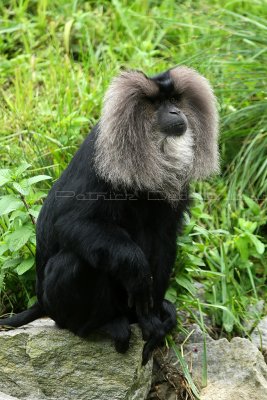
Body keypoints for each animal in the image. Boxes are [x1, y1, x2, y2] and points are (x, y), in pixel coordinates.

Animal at [0, 66, 220, 366]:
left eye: (174, 99)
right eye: (157, 104)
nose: (176, 111)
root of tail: (41, 301)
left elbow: (164, 237)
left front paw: (151, 319)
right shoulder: (103, 159)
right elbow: (70, 223)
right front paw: (137, 271)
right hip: (58, 305)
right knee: (76, 262)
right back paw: (103, 324)